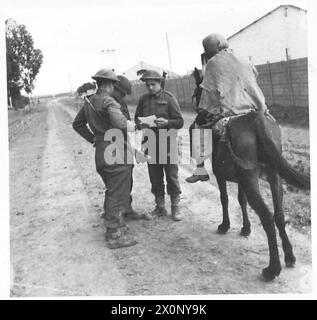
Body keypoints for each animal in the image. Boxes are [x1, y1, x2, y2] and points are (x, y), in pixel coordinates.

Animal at [190, 67, 308, 280]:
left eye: (197, 94)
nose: (200, 114)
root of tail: (256, 119)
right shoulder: (241, 179)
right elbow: (241, 200)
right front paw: (245, 229)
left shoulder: (221, 175)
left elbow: (225, 198)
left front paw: (225, 225)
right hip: (272, 176)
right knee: (279, 215)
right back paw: (289, 256)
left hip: (251, 178)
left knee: (267, 217)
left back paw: (272, 269)